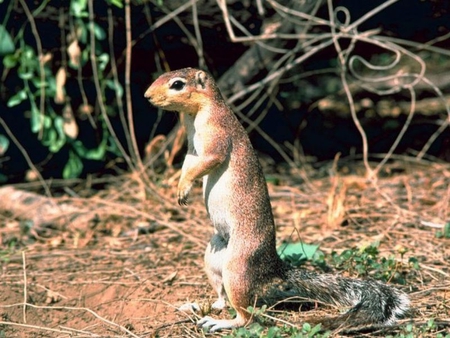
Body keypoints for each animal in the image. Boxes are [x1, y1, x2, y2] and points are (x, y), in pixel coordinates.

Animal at [145, 67, 412, 332]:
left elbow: (209, 160)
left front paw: (184, 188)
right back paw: (199, 306)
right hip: (212, 259)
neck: (197, 114)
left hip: (237, 269)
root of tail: (273, 269)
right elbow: (188, 164)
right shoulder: (191, 148)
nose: (147, 96)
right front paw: (179, 187)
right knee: (223, 299)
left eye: (177, 84)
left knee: (247, 316)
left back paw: (220, 322)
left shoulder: (217, 135)